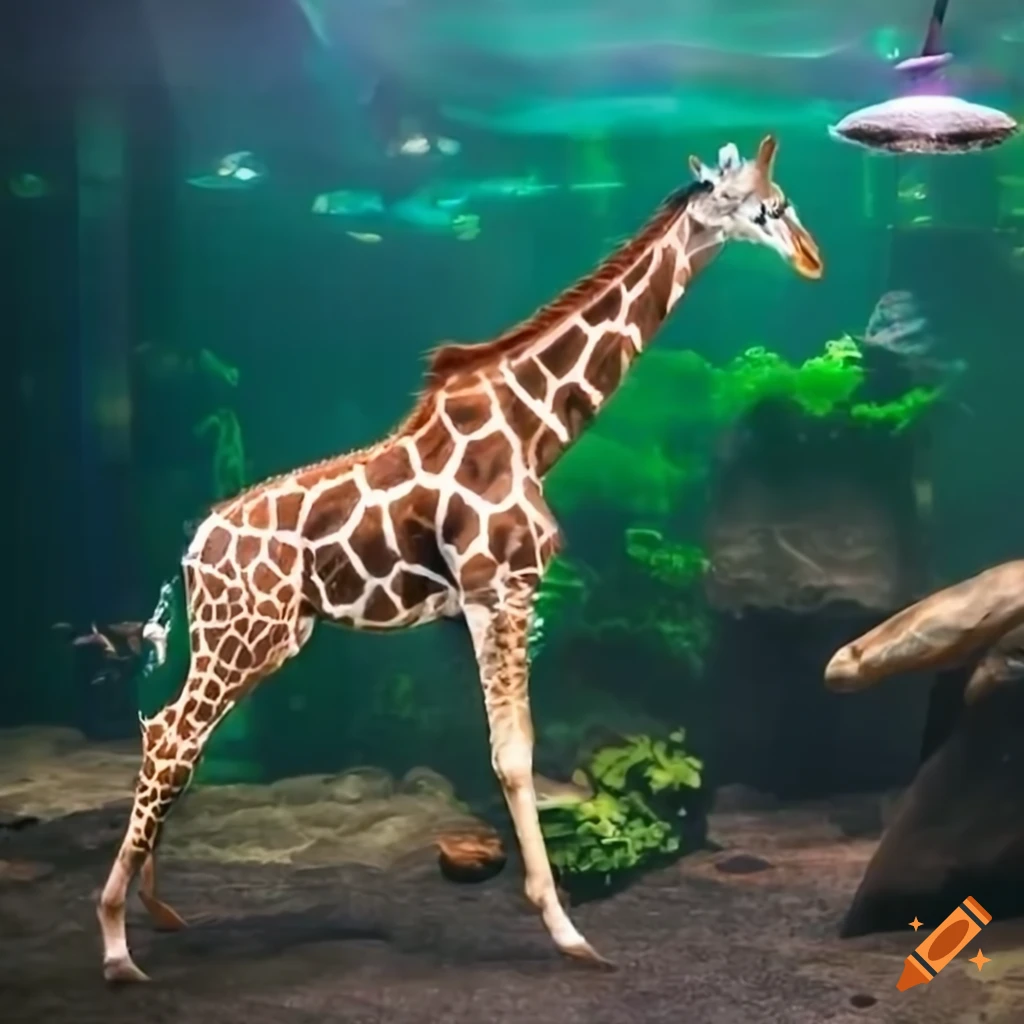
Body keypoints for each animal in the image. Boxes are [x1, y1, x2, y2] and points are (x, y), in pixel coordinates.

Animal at [98, 134, 823, 983]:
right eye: (765, 207)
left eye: (788, 201)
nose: (812, 258)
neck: (535, 430)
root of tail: (190, 551)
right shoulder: (499, 589)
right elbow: (513, 755)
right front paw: (568, 932)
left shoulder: (497, 598)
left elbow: (516, 752)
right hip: (247, 633)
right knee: (173, 737)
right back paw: (115, 944)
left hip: (256, 637)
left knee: (170, 731)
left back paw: (156, 911)